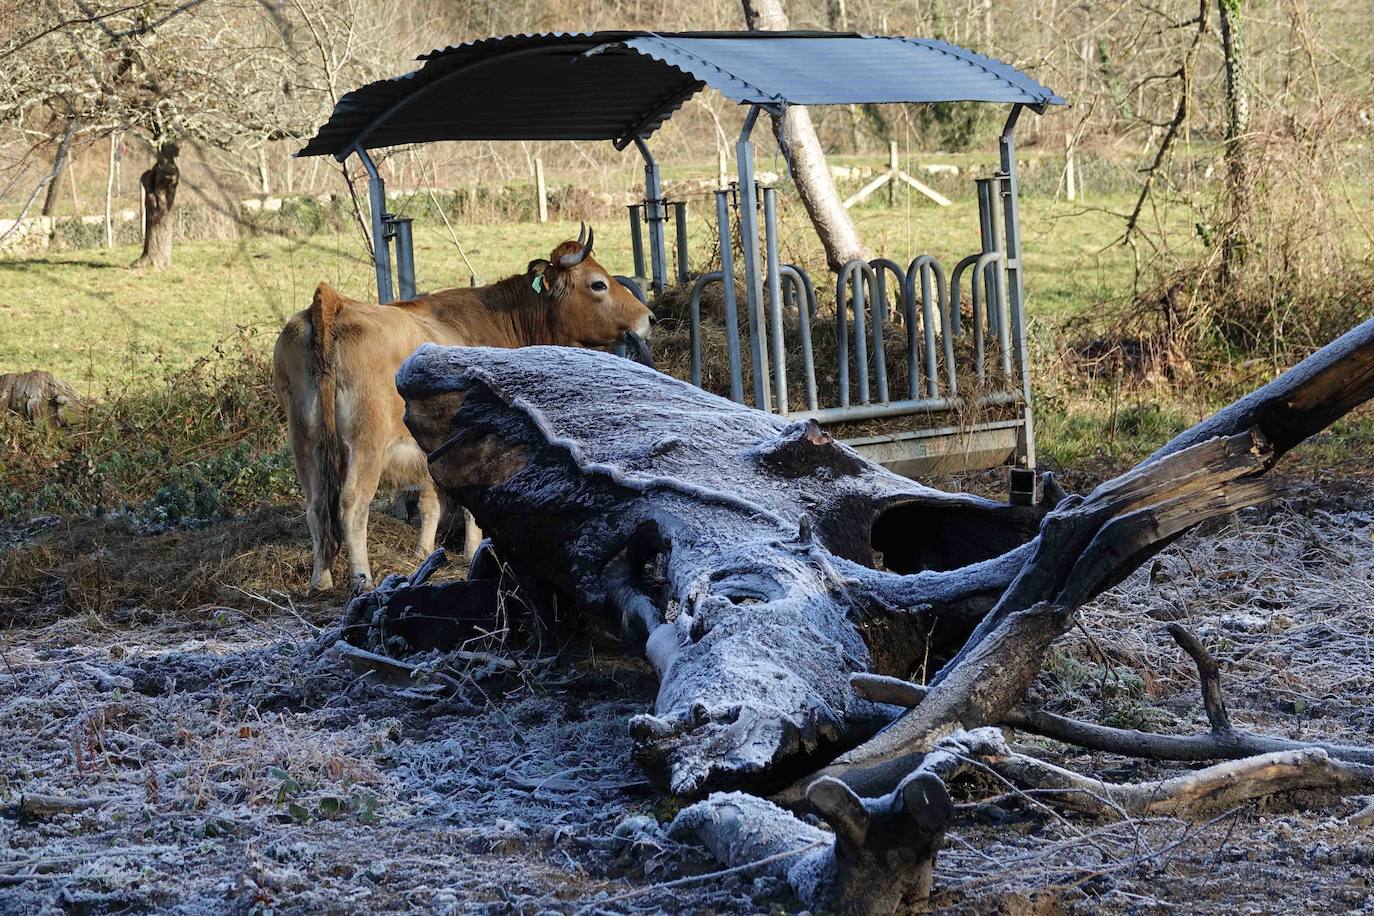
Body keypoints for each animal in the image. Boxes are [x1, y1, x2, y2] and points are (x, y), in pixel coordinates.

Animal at [276, 225, 651, 590]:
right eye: (598, 283)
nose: (647, 317)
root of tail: (333, 302)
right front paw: (473, 550)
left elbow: (431, 502)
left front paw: (424, 551)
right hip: (366, 441)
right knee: (352, 504)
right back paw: (362, 579)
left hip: (304, 441)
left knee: (316, 505)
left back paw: (321, 578)